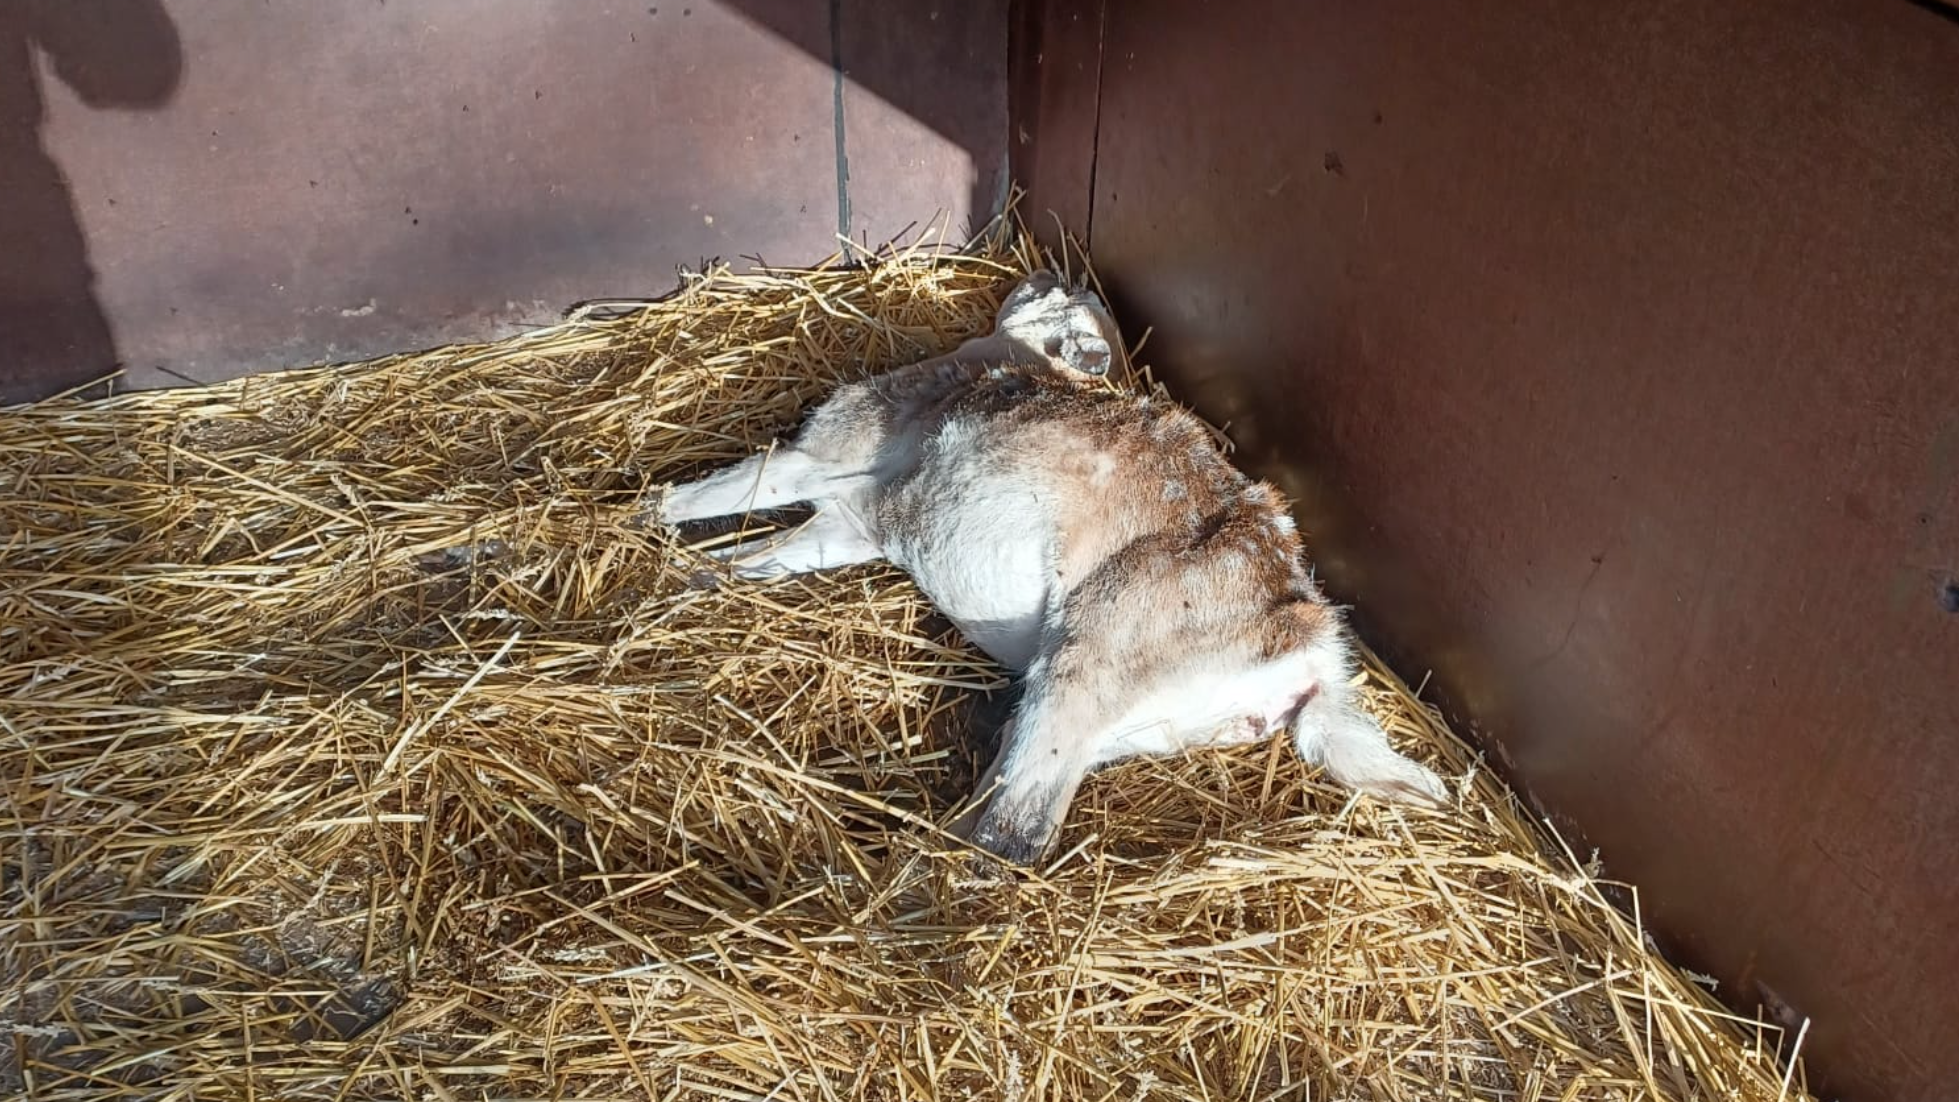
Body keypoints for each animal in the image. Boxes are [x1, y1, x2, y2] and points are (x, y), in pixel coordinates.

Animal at [662, 274, 1457, 861]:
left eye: (1064, 302)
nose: (1050, 272)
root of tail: (1312, 662)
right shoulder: (853, 522)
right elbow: (739, 560)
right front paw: (682, 582)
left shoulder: (825, 455)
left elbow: (704, 497)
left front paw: (641, 524)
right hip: (1117, 720)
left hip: (1087, 657)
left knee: (1014, 831)